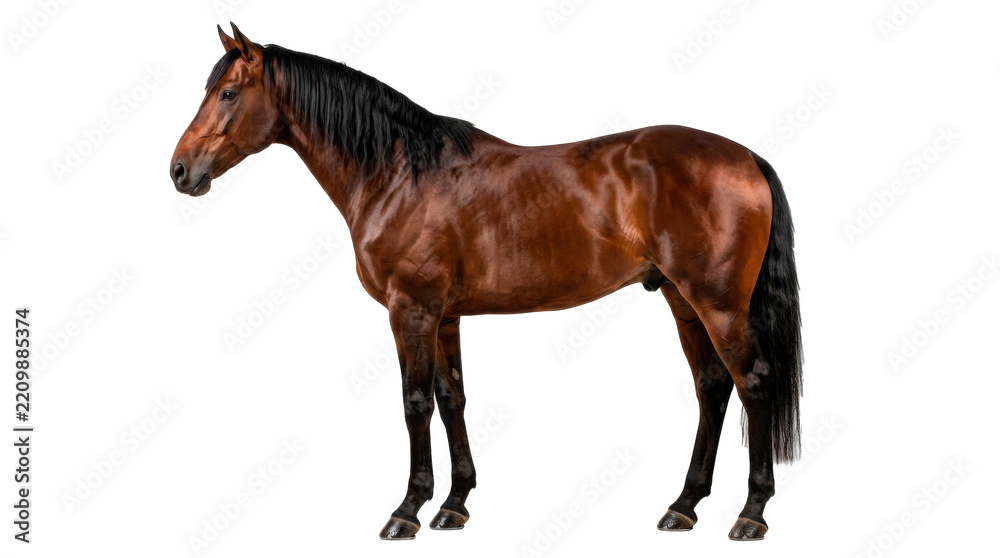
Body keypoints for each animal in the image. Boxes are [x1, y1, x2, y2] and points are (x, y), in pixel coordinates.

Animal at [171, 23, 803, 541]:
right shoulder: (444, 315)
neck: (400, 173)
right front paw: (454, 505)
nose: (179, 170)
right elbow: (452, 398)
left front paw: (407, 510)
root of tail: (745, 157)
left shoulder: (411, 310)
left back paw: (751, 514)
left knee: (753, 382)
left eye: (227, 94)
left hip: (718, 304)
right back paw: (683, 506)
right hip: (681, 299)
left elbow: (415, 402)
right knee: (712, 387)